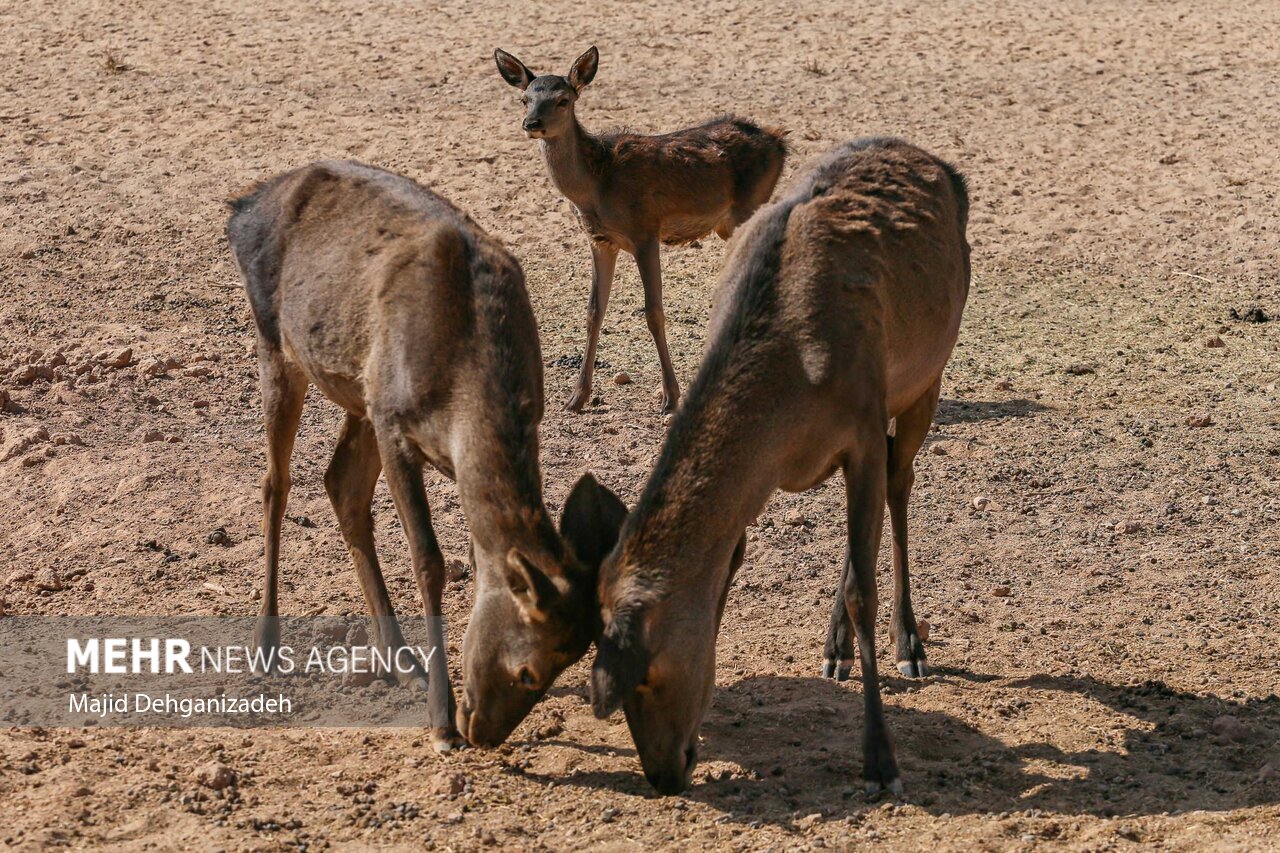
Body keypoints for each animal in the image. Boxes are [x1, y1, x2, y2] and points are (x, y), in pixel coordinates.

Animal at [231, 161, 629, 753]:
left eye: (566, 665)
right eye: (528, 669)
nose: (481, 732)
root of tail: (242, 206)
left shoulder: (389, 410)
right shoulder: (395, 425)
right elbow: (429, 561)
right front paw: (440, 725)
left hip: (361, 391)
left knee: (340, 483)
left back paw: (398, 659)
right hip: (276, 346)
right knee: (274, 486)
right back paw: (266, 645)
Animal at [491, 45, 783, 412]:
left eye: (563, 100)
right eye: (525, 98)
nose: (532, 123)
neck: (596, 187)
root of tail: (779, 141)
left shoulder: (646, 230)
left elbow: (653, 312)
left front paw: (670, 396)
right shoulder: (600, 240)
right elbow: (593, 311)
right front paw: (576, 397)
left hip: (749, 206)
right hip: (729, 222)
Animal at [586, 136, 967, 794]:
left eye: (648, 671)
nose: (663, 773)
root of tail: (940, 166)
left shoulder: (863, 425)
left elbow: (865, 588)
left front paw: (881, 759)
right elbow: (735, 561)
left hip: (925, 378)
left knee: (900, 483)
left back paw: (909, 644)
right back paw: (836, 648)